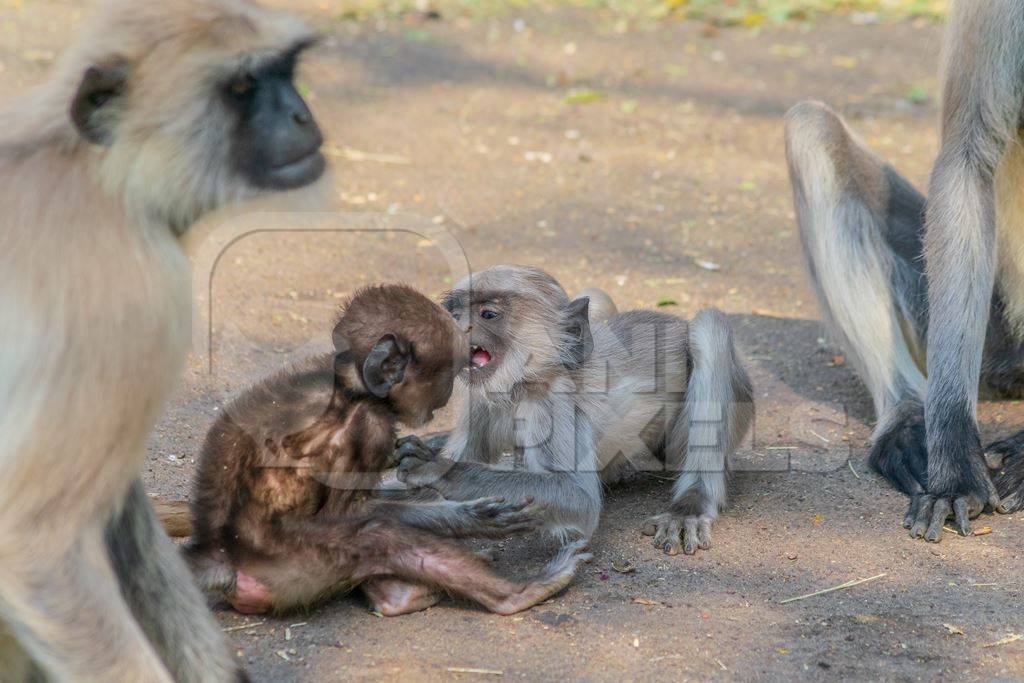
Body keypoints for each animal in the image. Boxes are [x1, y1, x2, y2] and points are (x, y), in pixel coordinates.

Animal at [0, 1, 325, 679]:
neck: (91, 172)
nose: (302, 115)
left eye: (286, 72)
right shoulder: (129, 295)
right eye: (241, 88)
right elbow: (32, 540)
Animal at [184, 286, 593, 618]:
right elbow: (345, 514)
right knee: (377, 534)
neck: (350, 385)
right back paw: (517, 593)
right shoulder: (368, 426)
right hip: (299, 568)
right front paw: (467, 517)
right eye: (445, 373)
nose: (443, 399)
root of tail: (221, 557)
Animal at [391, 264, 753, 557]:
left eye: (487, 315)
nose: (453, 328)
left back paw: (690, 506)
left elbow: (577, 498)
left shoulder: (554, 403)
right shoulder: (479, 398)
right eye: (455, 314)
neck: (521, 383)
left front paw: (439, 469)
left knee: (708, 327)